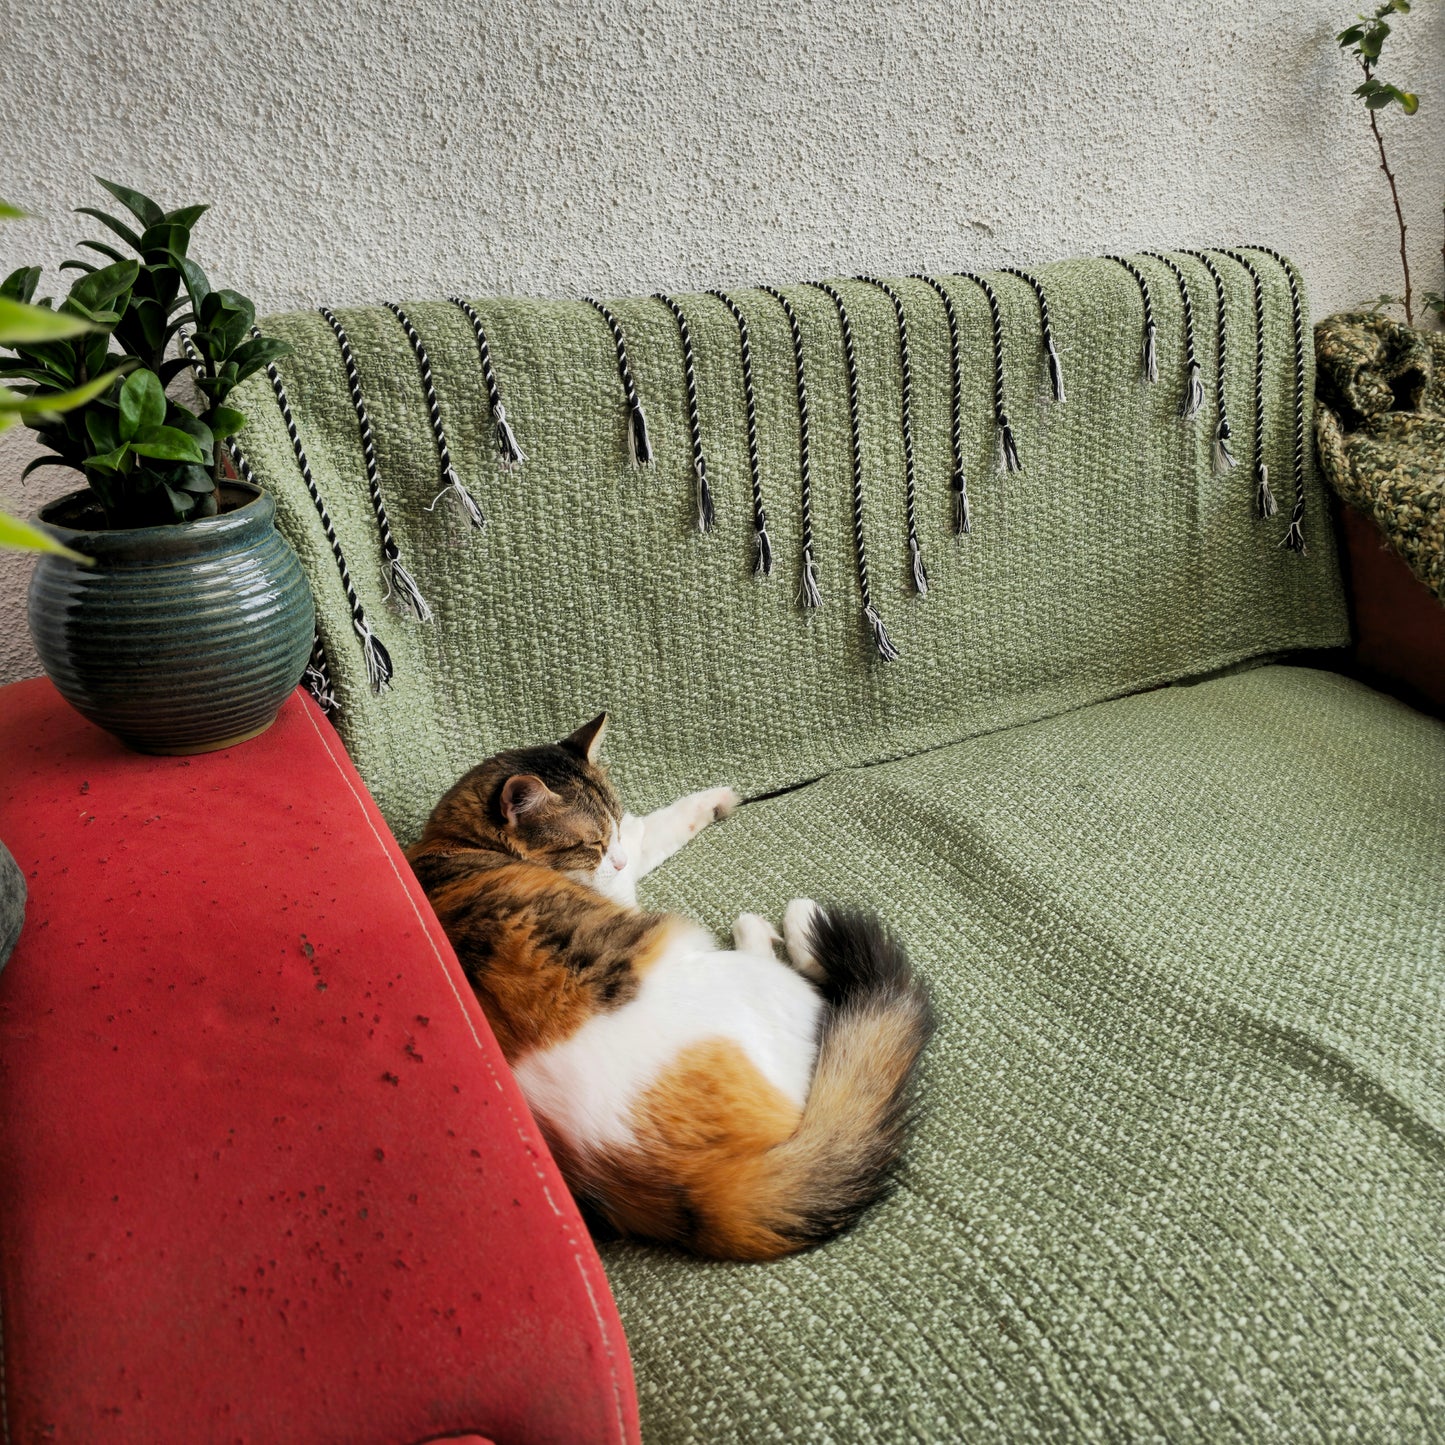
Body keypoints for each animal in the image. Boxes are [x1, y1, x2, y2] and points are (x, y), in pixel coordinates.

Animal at [407, 716, 930, 1260]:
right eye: (590, 844)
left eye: (613, 825)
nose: (614, 858)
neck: (457, 839)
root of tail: (695, 1180)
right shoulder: (611, 884)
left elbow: (654, 827)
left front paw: (714, 801)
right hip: (745, 980)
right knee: (806, 973)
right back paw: (793, 923)